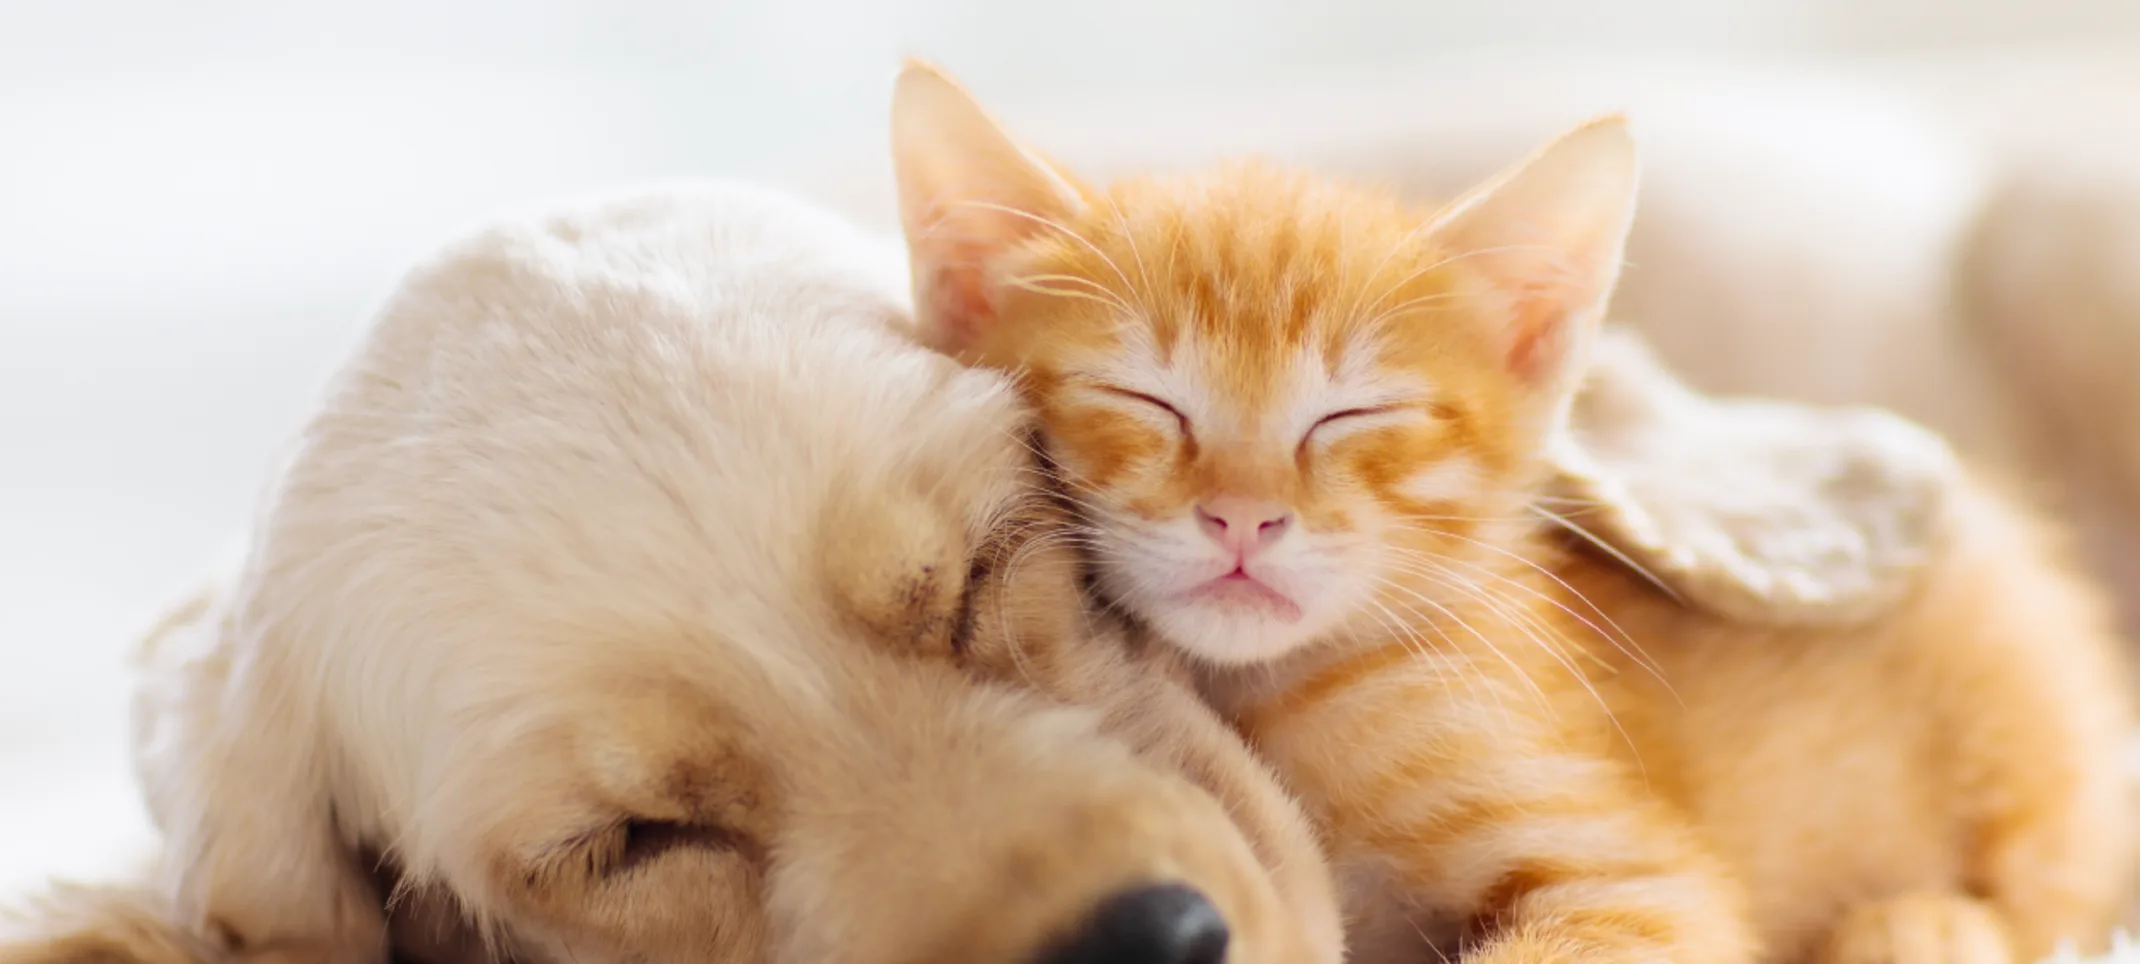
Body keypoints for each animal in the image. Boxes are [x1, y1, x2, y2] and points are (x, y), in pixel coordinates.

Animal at [885, 60, 2140, 964]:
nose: (1243, 518)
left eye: (1351, 414)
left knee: (2058, 885)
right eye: (1143, 397)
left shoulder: (1637, 880)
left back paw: (1924, 923)